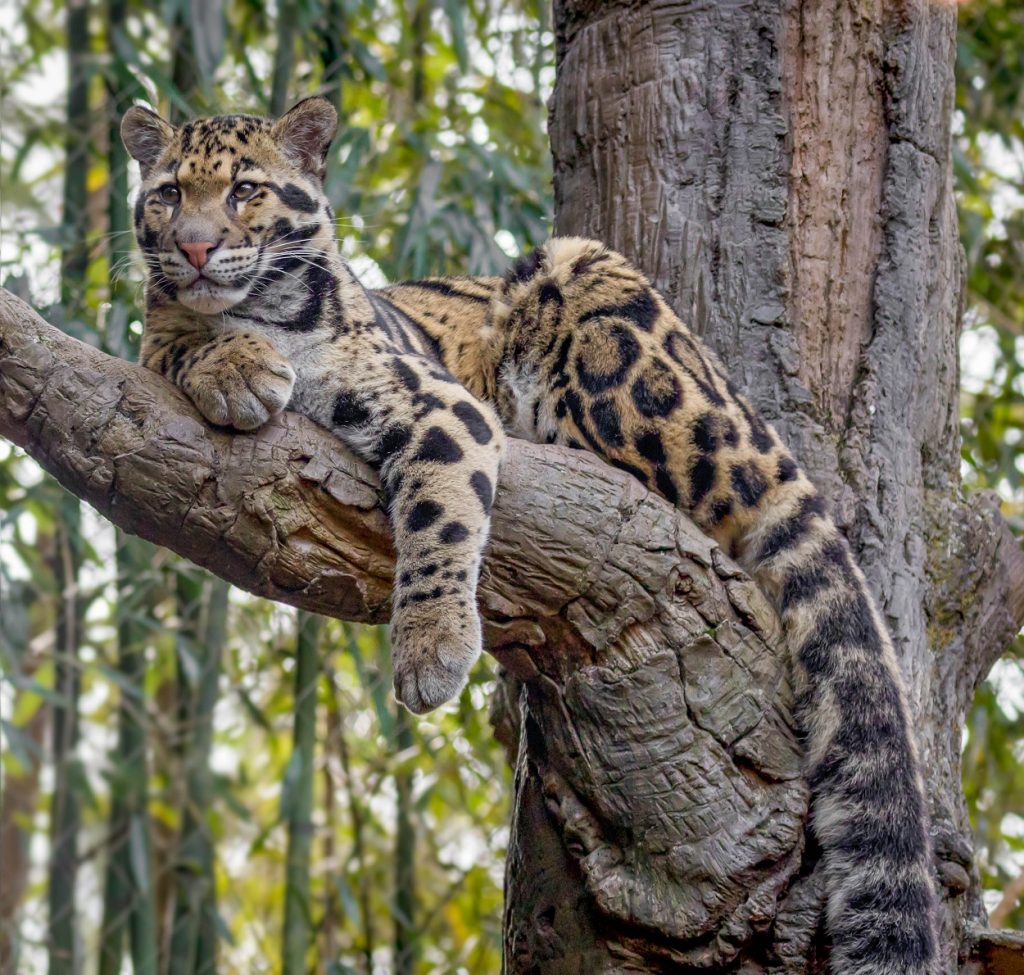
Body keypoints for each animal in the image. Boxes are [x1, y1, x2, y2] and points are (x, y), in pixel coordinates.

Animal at [121, 93, 942, 975]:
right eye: (167, 195)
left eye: (244, 190)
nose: (194, 244)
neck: (262, 312)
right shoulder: (155, 345)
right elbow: (177, 340)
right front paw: (232, 364)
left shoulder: (438, 402)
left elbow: (441, 511)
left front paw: (431, 646)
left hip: (590, 299)